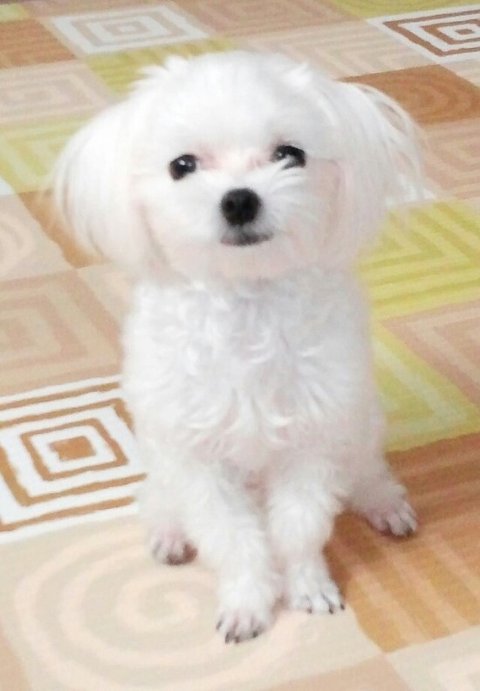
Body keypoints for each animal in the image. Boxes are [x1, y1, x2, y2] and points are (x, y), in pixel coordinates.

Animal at [54, 51, 420, 644]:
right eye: (182, 165)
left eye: (289, 154)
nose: (240, 199)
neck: (247, 302)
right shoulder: (199, 457)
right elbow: (232, 537)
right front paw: (247, 603)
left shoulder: (312, 440)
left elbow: (299, 527)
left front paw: (309, 588)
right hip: (162, 456)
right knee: (160, 497)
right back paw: (168, 534)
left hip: (360, 422)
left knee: (365, 468)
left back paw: (386, 504)